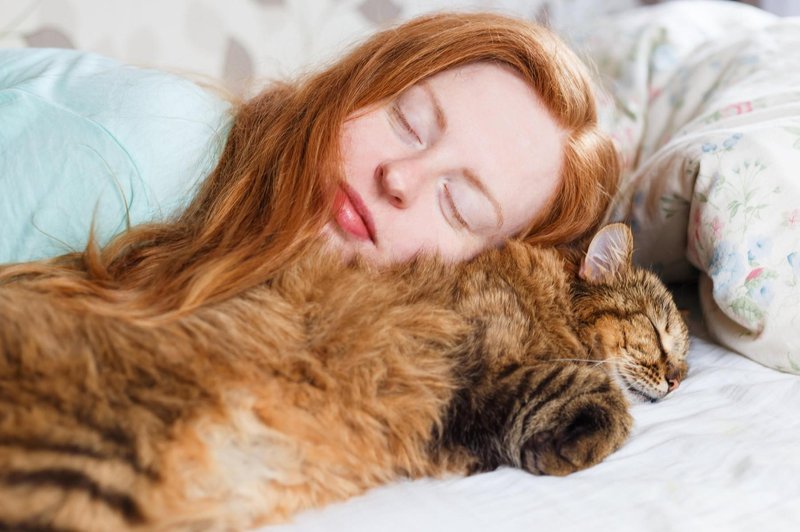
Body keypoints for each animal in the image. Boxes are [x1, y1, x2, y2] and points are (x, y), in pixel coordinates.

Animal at [0, 222, 688, 528]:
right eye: (659, 335)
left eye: (684, 357)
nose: (678, 380)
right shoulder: (472, 366)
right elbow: (591, 392)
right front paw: (577, 444)